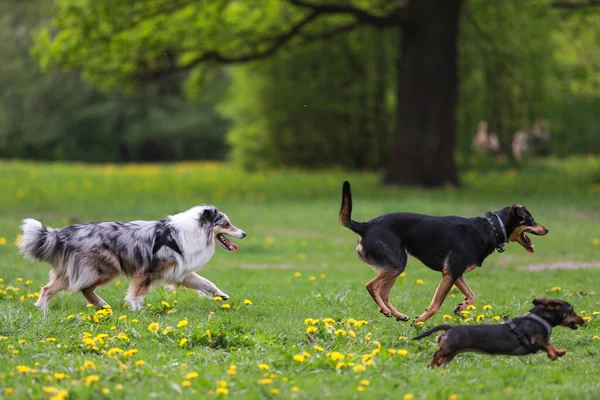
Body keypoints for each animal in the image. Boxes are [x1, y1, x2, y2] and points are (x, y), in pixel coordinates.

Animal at [338, 181, 548, 322]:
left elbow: (472, 295)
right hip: (396, 264)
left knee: (384, 294)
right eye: (531, 219)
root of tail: (365, 226)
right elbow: (435, 306)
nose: (547, 229)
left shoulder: (457, 274)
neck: (492, 228)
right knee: (371, 286)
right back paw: (390, 312)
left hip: (394, 267)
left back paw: (396, 314)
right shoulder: (449, 274)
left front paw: (460, 307)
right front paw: (420, 321)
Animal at [410, 298, 584, 368]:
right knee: (436, 355)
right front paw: (554, 354)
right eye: (571, 311)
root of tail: (450, 328)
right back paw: (431, 365)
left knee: (441, 360)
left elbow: (549, 346)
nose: (583, 321)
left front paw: (558, 352)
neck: (539, 318)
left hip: (451, 353)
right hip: (449, 348)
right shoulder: (537, 339)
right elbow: (548, 345)